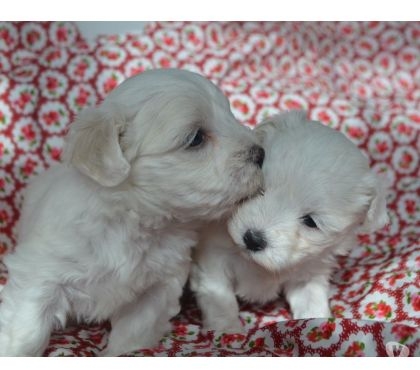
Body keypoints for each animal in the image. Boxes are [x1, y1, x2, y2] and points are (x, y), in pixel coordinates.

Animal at [0, 68, 262, 356]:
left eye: (231, 115)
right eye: (196, 139)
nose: (261, 154)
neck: (131, 220)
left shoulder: (158, 287)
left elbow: (134, 332)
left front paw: (120, 351)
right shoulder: (40, 275)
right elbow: (26, 330)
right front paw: (16, 350)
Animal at [190, 110, 388, 332]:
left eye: (310, 221)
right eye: (258, 189)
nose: (252, 239)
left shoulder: (309, 271)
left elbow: (311, 303)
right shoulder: (213, 257)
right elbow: (219, 297)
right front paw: (227, 331)